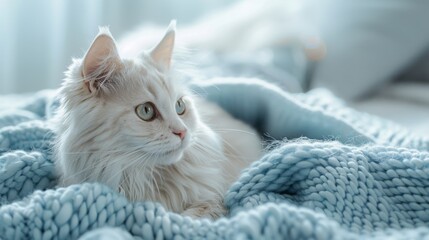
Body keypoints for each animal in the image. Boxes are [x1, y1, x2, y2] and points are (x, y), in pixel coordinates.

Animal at [54, 21, 260, 219]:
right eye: (146, 111)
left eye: (179, 106)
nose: (182, 132)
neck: (142, 179)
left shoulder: (214, 199)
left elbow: (196, 215)